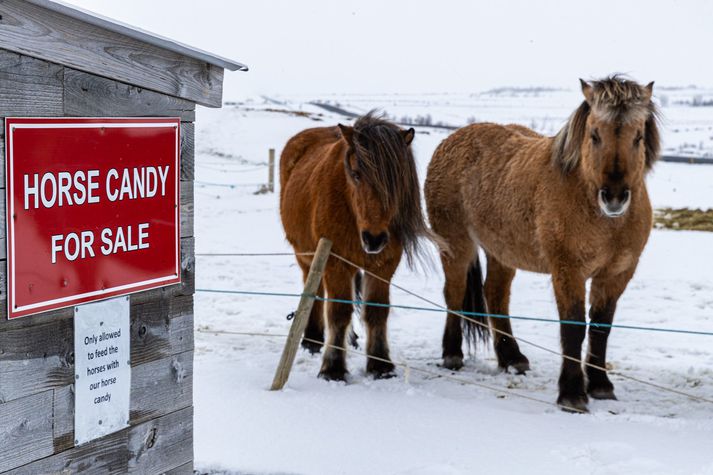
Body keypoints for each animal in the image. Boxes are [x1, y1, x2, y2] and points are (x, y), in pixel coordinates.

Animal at [278, 110, 426, 380]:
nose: (374, 238)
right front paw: (333, 367)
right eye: (356, 174)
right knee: (314, 290)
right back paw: (312, 339)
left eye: (397, 179)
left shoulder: (383, 265)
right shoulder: (335, 262)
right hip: (308, 255)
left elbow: (377, 311)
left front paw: (380, 364)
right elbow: (339, 311)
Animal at [422, 78, 660, 412]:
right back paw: (452, 354)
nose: (614, 197)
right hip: (456, 245)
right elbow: (573, 326)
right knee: (454, 293)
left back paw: (512, 358)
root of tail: (452, 139)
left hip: (501, 252)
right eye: (594, 134)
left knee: (495, 295)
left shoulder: (616, 274)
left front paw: (601, 385)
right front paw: (572, 393)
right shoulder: (568, 270)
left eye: (638, 136)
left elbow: (601, 327)